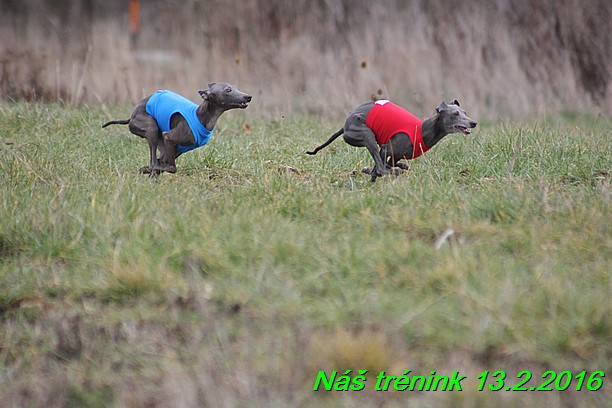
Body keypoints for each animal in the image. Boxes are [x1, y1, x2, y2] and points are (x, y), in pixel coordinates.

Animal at [103, 82, 251, 173]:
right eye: (228, 90)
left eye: (236, 87)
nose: (248, 96)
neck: (200, 116)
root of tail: (131, 117)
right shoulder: (168, 137)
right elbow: (171, 168)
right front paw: (146, 169)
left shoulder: (177, 149)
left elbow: (162, 165)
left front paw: (148, 172)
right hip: (151, 127)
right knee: (153, 160)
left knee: (156, 162)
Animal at [308, 99, 476, 182]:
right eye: (455, 114)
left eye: (465, 112)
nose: (473, 123)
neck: (423, 130)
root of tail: (345, 126)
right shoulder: (386, 148)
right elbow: (380, 168)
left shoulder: (394, 154)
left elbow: (386, 165)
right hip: (367, 135)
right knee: (381, 166)